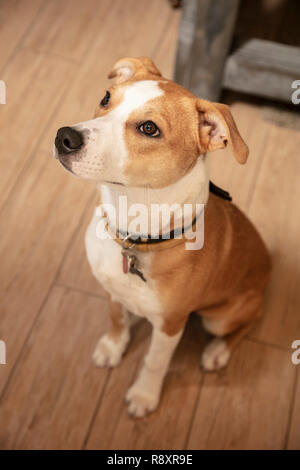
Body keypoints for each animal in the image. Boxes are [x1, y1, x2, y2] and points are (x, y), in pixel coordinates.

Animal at [54, 57, 272, 416]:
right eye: (106, 98)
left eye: (149, 128)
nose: (64, 138)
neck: (133, 230)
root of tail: (269, 265)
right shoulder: (112, 288)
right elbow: (116, 318)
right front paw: (112, 347)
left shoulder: (170, 324)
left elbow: (155, 362)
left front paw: (144, 396)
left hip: (221, 317)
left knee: (248, 323)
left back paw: (217, 352)